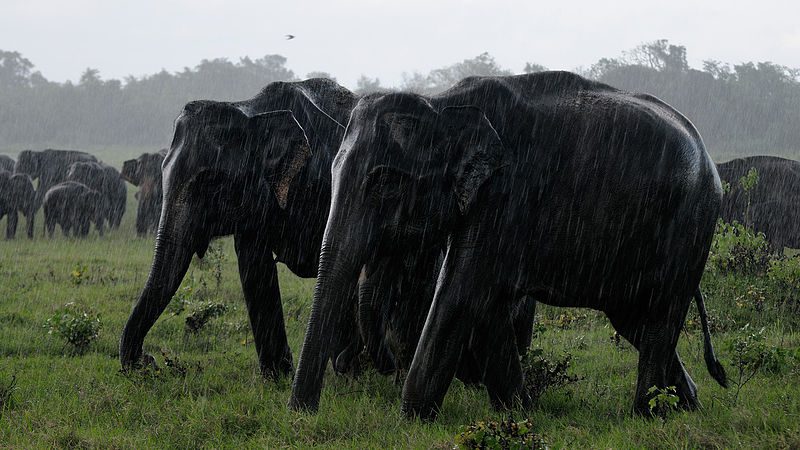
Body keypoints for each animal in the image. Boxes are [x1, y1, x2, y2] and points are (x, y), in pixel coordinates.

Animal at [119, 78, 361, 379]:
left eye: (211, 182)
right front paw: (277, 376)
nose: (148, 360)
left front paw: (348, 368)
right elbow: (254, 266)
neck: (252, 111)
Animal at [290, 71, 728, 419]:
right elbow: (488, 308)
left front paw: (411, 419)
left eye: (385, 182)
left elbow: (461, 294)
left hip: (691, 226)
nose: (303, 413)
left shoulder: (505, 196)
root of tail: (707, 156)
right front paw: (520, 412)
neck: (444, 104)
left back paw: (646, 415)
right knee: (635, 320)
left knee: (659, 318)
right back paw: (687, 407)